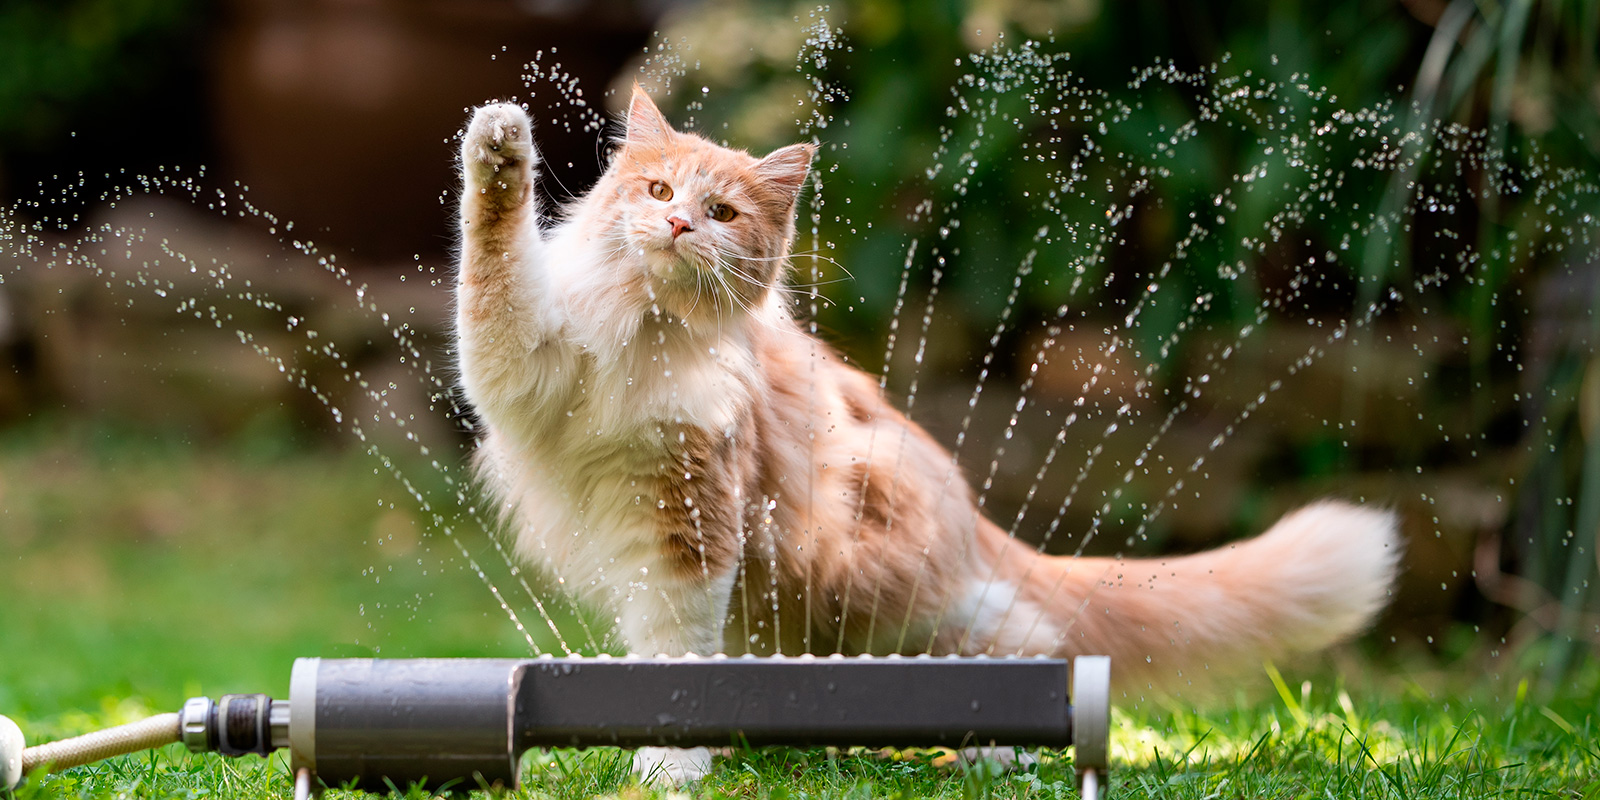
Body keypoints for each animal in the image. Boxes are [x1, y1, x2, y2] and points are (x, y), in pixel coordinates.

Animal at [460, 87, 1401, 780]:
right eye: (657, 193)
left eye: (720, 211)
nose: (680, 225)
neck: (646, 331)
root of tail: (971, 515)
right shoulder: (521, 367)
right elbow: (491, 265)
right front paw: (500, 151)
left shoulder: (693, 523)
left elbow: (676, 656)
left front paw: (671, 765)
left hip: (882, 592)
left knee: (1030, 642)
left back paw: (1002, 749)